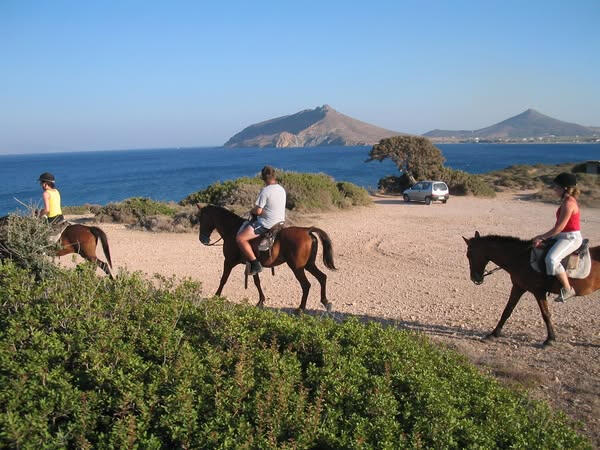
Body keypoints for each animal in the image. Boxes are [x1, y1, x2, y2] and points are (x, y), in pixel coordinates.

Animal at [198, 205, 336, 312]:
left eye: (201, 219)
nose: (202, 239)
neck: (232, 230)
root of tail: (307, 230)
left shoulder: (228, 262)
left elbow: (223, 279)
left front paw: (216, 297)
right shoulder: (253, 264)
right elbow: (257, 282)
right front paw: (261, 301)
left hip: (297, 267)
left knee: (306, 285)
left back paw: (300, 309)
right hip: (309, 265)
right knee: (322, 277)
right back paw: (325, 302)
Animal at [464, 230, 600, 346]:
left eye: (469, 254)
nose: (475, 278)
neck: (521, 258)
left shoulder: (538, 292)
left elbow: (545, 314)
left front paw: (550, 339)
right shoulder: (518, 287)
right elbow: (507, 311)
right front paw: (493, 334)